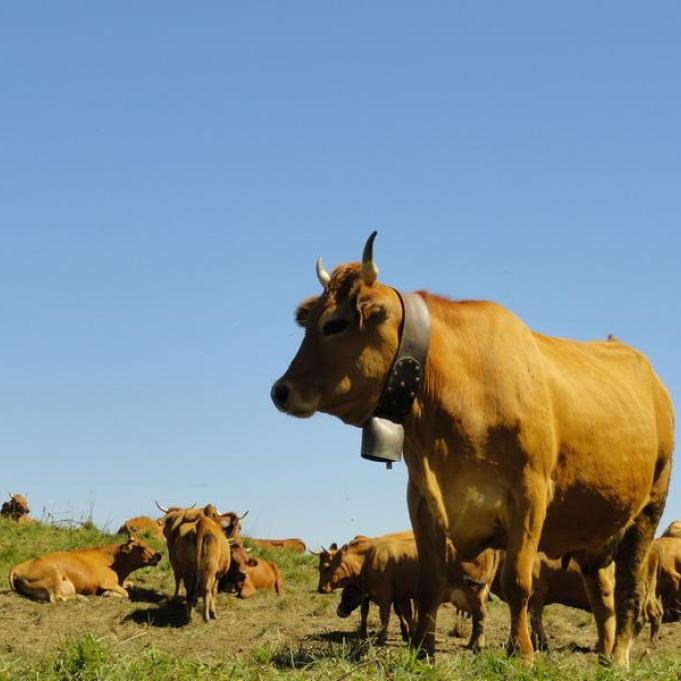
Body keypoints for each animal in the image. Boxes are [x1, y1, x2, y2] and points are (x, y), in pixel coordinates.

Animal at [8, 536, 161, 602]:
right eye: (141, 547)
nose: (158, 555)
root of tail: (17, 567)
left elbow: (129, 587)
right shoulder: (107, 582)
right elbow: (126, 593)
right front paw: (108, 594)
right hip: (54, 574)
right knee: (57, 598)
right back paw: (81, 598)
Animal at [271, 232, 674, 667]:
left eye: (334, 324)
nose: (280, 390)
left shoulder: (530, 497)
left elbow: (517, 583)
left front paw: (523, 652)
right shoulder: (423, 501)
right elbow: (429, 584)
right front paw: (422, 650)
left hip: (648, 511)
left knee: (628, 590)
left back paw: (620, 657)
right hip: (592, 530)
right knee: (601, 596)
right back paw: (603, 653)